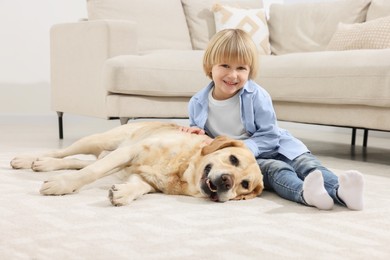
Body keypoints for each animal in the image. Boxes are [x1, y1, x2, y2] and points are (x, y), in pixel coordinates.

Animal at [10, 121, 264, 205]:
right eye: (233, 159)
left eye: (244, 185)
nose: (227, 181)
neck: (183, 169)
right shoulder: (129, 152)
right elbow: (91, 172)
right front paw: (62, 185)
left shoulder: (146, 180)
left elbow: (137, 187)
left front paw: (121, 193)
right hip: (100, 140)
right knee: (65, 152)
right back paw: (29, 159)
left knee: (76, 161)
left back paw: (45, 164)